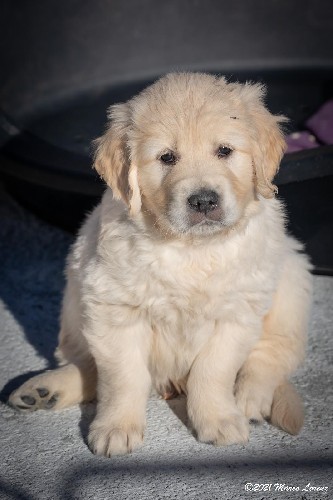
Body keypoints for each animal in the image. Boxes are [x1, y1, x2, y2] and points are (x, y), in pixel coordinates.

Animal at [9, 72, 312, 456]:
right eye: (167, 157)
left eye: (224, 151)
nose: (203, 201)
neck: (191, 248)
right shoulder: (114, 308)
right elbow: (123, 376)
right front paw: (117, 427)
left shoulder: (237, 313)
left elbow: (213, 370)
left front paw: (219, 420)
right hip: (74, 295)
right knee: (89, 365)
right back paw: (44, 390)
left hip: (289, 276)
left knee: (274, 353)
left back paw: (249, 398)